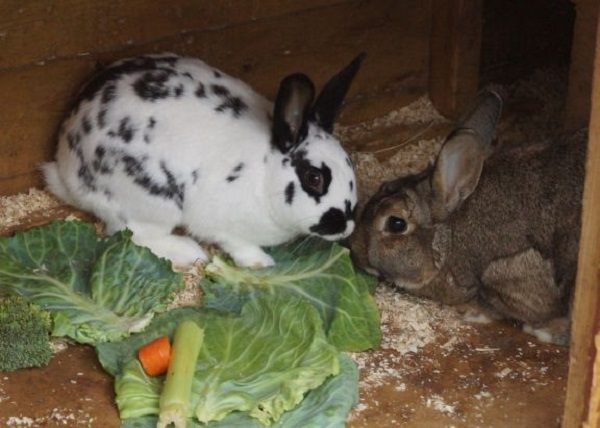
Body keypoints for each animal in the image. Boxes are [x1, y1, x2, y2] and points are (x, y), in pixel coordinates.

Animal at [352, 89, 584, 344]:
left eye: (396, 223)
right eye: (382, 185)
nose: (355, 249)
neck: (450, 237)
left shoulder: (509, 273)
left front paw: (476, 313)